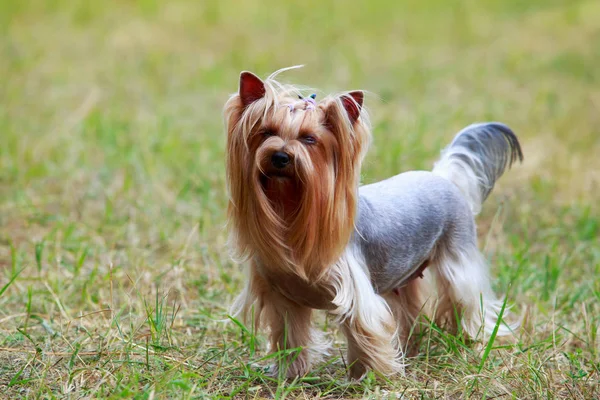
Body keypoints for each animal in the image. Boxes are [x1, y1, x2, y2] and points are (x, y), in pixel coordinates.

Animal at [223, 67, 524, 380]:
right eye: (267, 132)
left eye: (309, 139)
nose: (280, 156)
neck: (290, 210)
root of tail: (444, 176)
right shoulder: (283, 298)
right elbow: (289, 335)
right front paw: (288, 373)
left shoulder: (355, 296)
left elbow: (364, 332)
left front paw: (366, 378)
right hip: (405, 277)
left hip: (458, 257)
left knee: (468, 301)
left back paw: (474, 342)